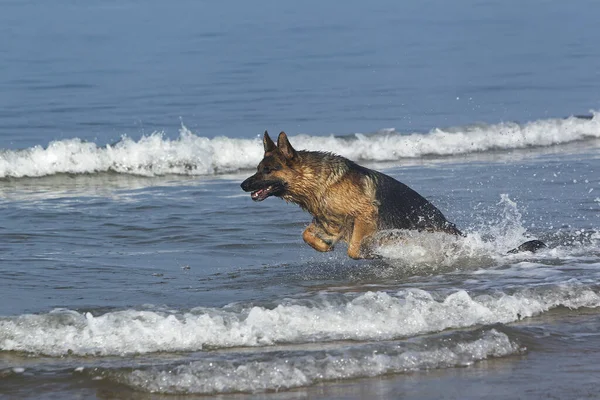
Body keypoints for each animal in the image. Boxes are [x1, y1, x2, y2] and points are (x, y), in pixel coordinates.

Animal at [241, 130, 548, 258]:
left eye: (267, 170)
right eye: (257, 169)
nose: (243, 185)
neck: (319, 183)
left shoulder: (365, 215)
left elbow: (354, 249)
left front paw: (369, 254)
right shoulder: (329, 222)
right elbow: (307, 234)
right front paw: (324, 247)